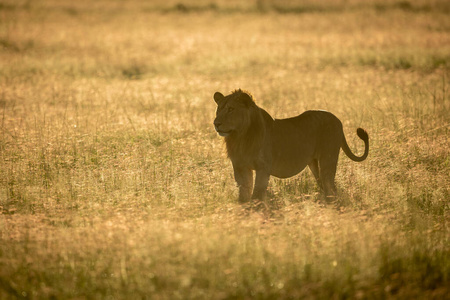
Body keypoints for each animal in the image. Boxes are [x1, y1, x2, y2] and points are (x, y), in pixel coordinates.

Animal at [214, 88, 370, 203]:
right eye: (218, 109)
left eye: (231, 109)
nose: (216, 123)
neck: (239, 137)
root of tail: (338, 120)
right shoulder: (240, 167)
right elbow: (244, 193)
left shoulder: (263, 167)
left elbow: (256, 194)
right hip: (314, 163)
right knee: (324, 185)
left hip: (328, 158)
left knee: (330, 186)